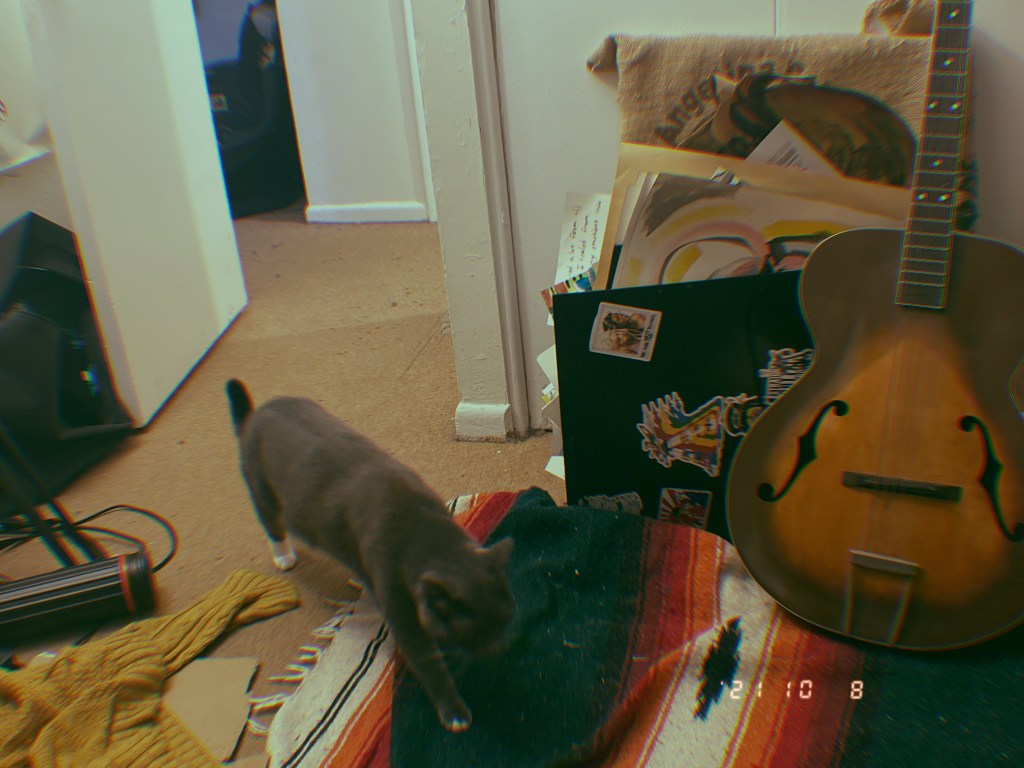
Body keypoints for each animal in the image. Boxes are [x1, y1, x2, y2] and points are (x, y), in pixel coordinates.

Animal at [225, 378, 515, 732]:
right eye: (475, 631)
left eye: (507, 618)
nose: (503, 646)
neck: (425, 533)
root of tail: (254, 415)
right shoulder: (400, 604)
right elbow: (428, 663)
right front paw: (455, 711)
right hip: (262, 491)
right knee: (272, 525)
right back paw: (284, 556)